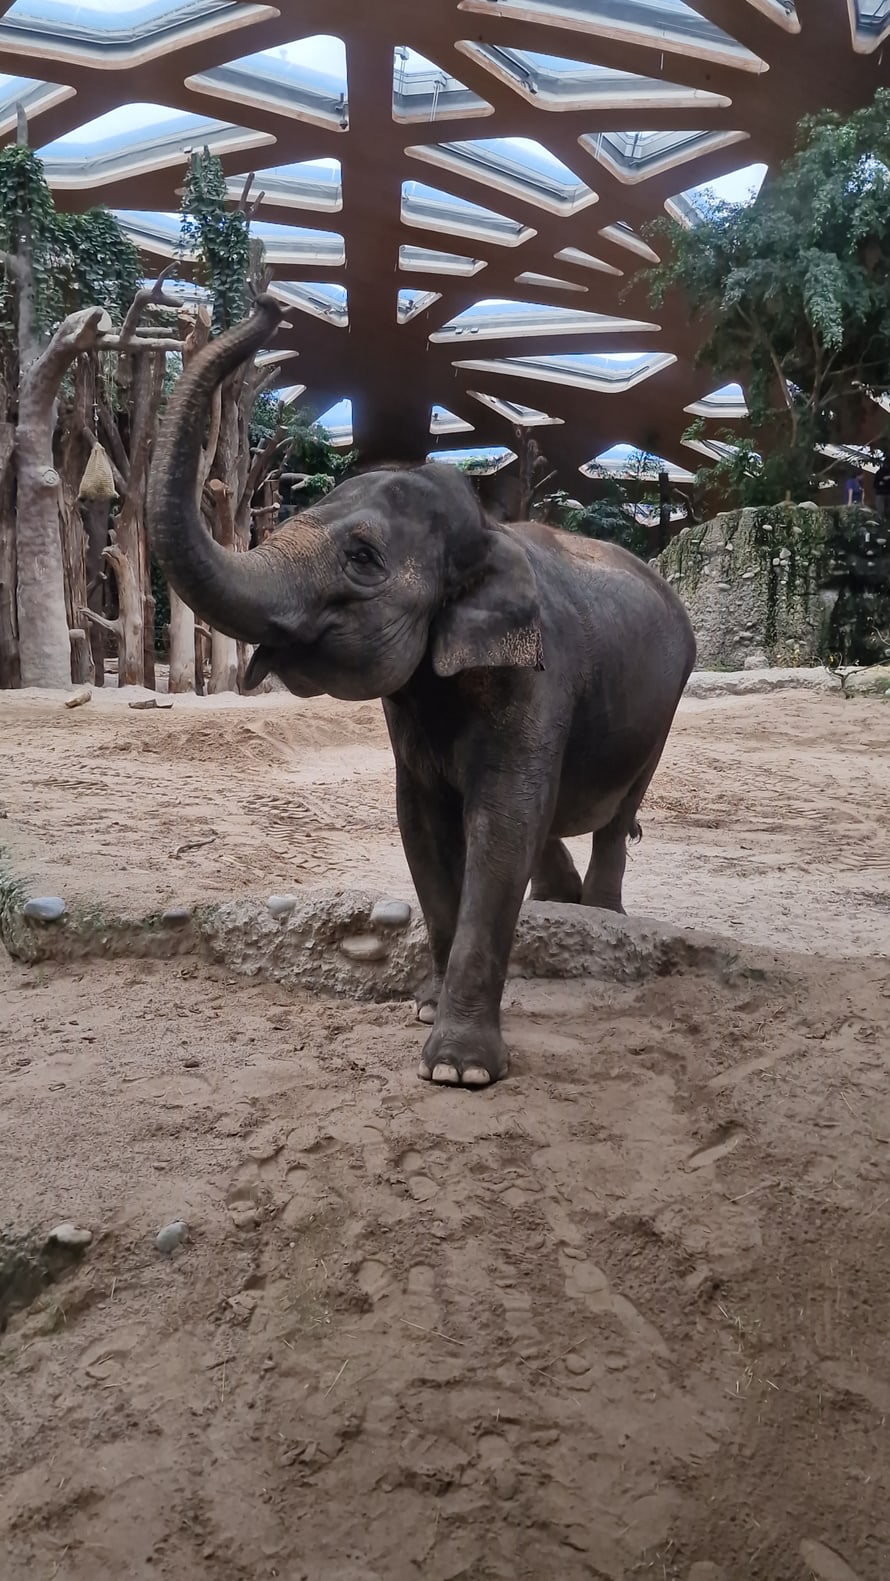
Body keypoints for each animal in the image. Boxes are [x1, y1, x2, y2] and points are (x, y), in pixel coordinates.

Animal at [148, 295, 696, 1088]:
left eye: (363, 557)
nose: (270, 305)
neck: (489, 533)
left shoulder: (536, 677)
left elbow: (502, 822)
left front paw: (460, 1072)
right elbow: (424, 824)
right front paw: (425, 1010)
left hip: (668, 702)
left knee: (616, 816)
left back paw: (601, 916)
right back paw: (560, 904)